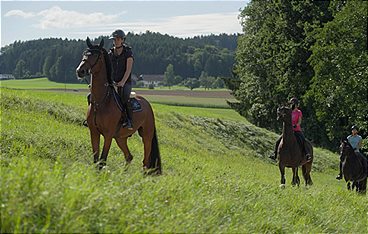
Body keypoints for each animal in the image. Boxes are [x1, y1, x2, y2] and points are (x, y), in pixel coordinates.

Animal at [76, 38, 161, 174]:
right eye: (85, 53)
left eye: (95, 55)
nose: (80, 71)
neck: (101, 101)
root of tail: (146, 103)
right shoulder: (94, 132)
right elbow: (96, 159)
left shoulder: (108, 134)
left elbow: (102, 159)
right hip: (120, 137)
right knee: (129, 156)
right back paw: (123, 174)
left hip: (146, 136)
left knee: (145, 162)